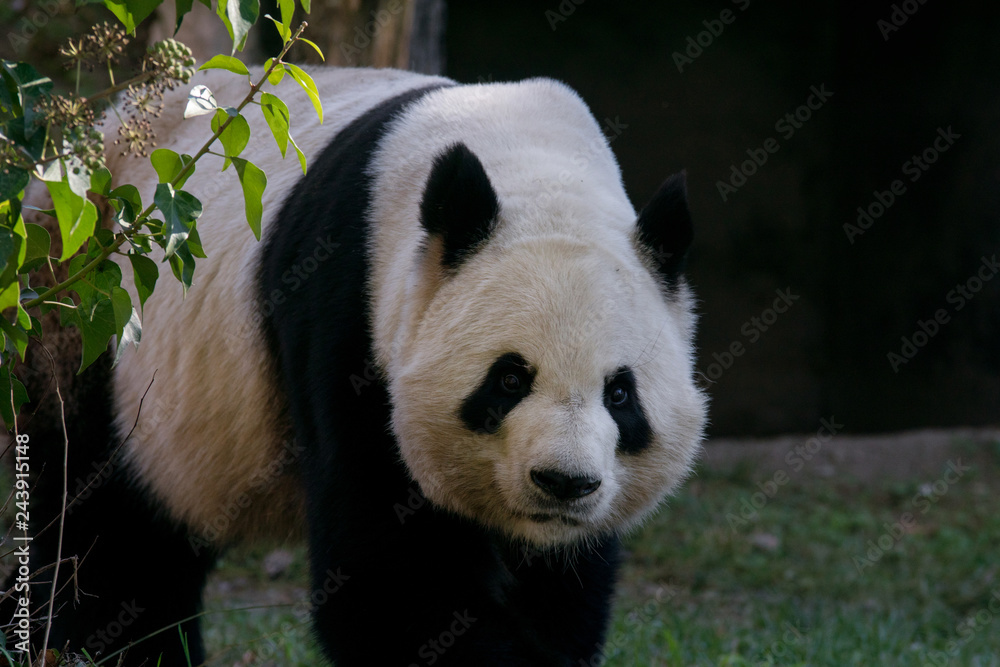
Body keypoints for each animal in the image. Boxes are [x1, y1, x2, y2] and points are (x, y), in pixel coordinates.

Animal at [8, 66, 706, 666]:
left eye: (620, 394)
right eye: (510, 378)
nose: (563, 483)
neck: (530, 165)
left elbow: (563, 594)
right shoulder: (347, 317)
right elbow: (387, 581)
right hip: (87, 311)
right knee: (105, 521)